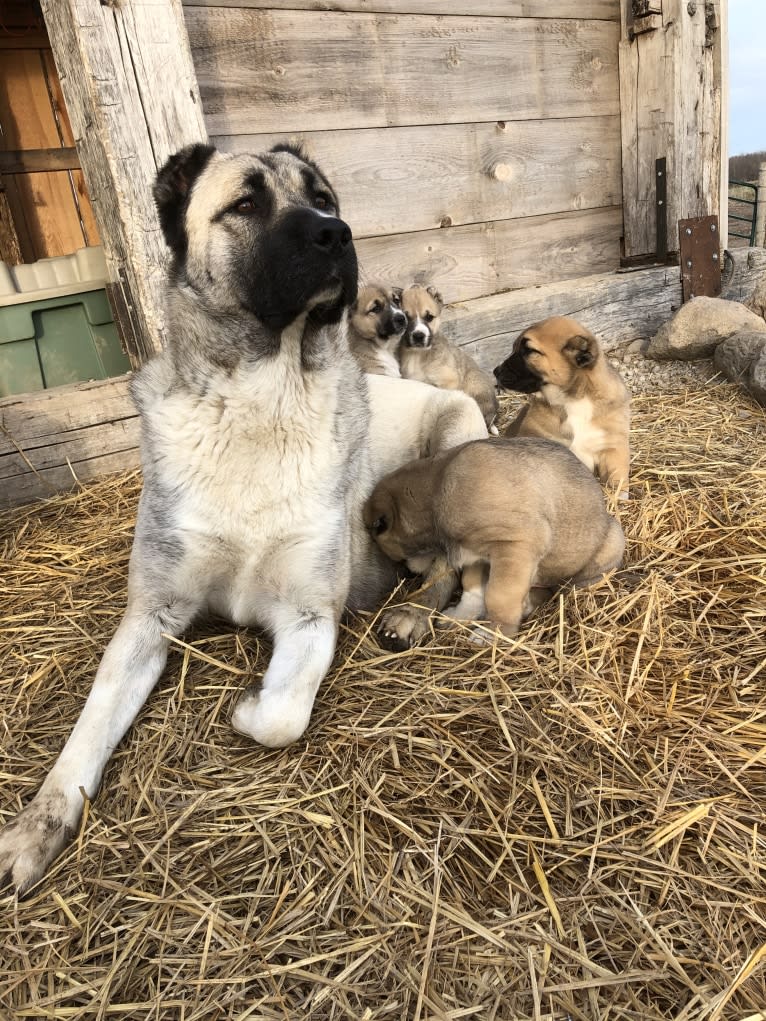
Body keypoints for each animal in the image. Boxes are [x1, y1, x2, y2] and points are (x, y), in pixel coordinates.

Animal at [0, 141, 486, 894]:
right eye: (247, 203)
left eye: (324, 197)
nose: (338, 234)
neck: (262, 404)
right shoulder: (148, 617)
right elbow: (84, 736)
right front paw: (35, 828)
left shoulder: (310, 617)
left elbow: (284, 714)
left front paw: (248, 705)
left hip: (460, 437)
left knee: (455, 564)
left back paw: (412, 612)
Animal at [363, 439, 625, 637]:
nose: (409, 573)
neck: (436, 493)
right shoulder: (477, 556)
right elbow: (474, 587)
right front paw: (462, 615)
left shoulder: (515, 545)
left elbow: (499, 596)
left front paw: (495, 633)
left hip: (609, 544)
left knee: (556, 589)